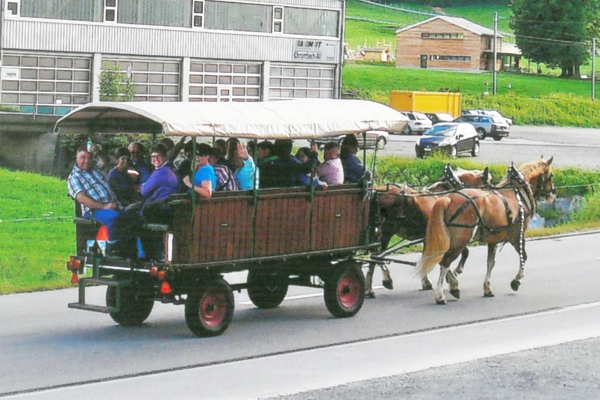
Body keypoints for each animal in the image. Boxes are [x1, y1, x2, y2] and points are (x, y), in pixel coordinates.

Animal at [366, 164, 492, 298]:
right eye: (488, 185)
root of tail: (376, 192)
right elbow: (461, 253)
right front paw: (454, 275)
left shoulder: (429, 238)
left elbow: (427, 257)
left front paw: (427, 281)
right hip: (386, 232)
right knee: (376, 255)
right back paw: (380, 283)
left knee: (375, 255)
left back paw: (371, 287)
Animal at [418, 156, 552, 304]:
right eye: (551, 176)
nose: (552, 194)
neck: (516, 194)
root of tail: (448, 199)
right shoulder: (517, 236)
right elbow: (524, 257)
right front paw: (516, 281)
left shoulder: (493, 239)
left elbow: (490, 263)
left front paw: (487, 288)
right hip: (459, 241)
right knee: (444, 262)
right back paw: (441, 295)